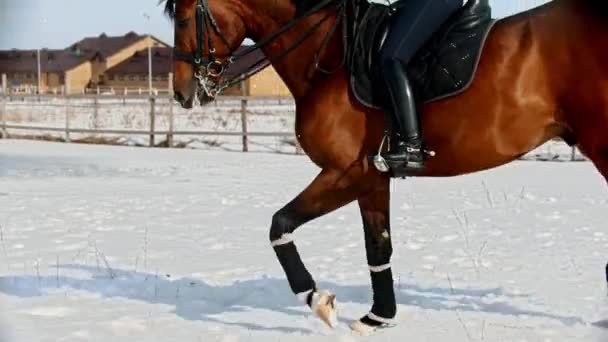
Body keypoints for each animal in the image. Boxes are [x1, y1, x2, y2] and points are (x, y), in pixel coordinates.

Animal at [166, 0, 608, 334]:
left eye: (184, 18)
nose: (182, 92)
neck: (331, 58)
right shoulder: (372, 179)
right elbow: (378, 246)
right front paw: (378, 317)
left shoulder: (345, 173)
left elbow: (280, 224)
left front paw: (318, 299)